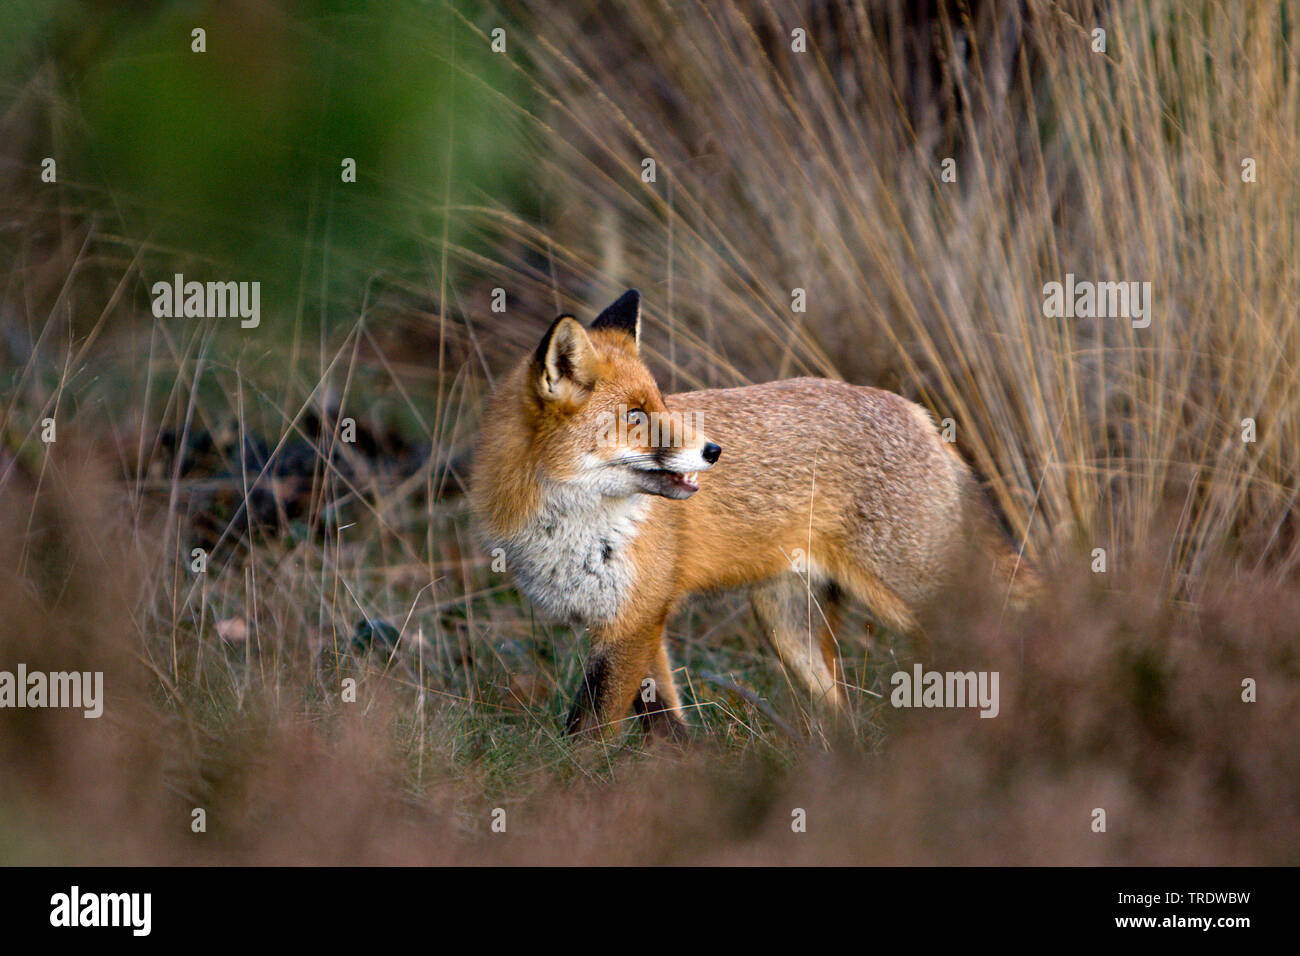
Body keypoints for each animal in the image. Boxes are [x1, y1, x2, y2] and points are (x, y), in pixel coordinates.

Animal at [473, 290, 1029, 738]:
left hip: (912, 593)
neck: (566, 525)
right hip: (790, 628)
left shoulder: (634, 619)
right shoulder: (635, 620)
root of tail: (918, 414)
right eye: (634, 416)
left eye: (661, 403)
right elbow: (665, 726)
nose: (714, 450)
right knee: (841, 711)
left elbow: (590, 731)